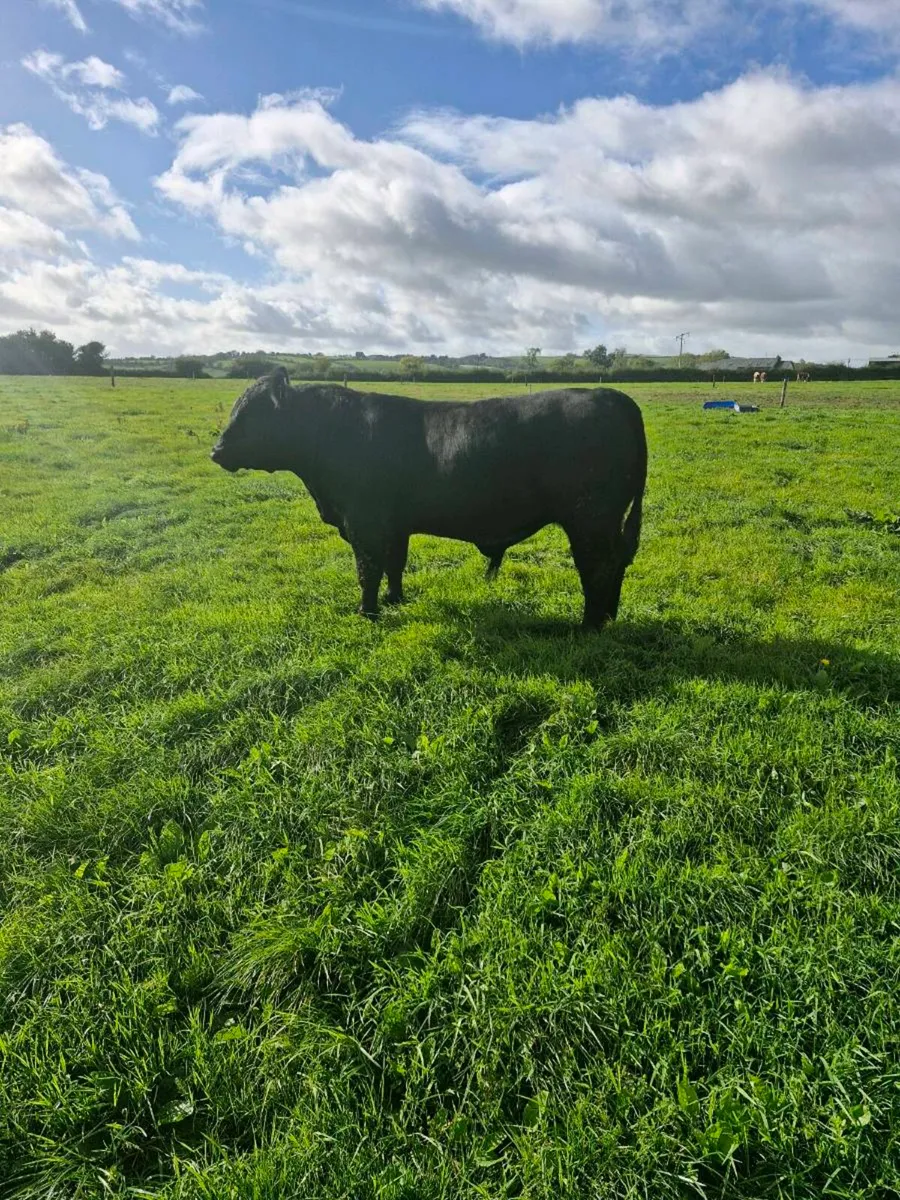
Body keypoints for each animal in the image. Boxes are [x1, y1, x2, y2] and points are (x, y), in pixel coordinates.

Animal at [210, 369, 647, 629]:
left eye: (251, 414)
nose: (216, 451)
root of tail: (613, 395)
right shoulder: (394, 524)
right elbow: (394, 564)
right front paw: (395, 600)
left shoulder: (365, 522)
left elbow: (368, 569)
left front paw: (367, 612)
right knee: (615, 564)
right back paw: (608, 617)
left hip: (590, 520)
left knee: (597, 568)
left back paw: (589, 625)